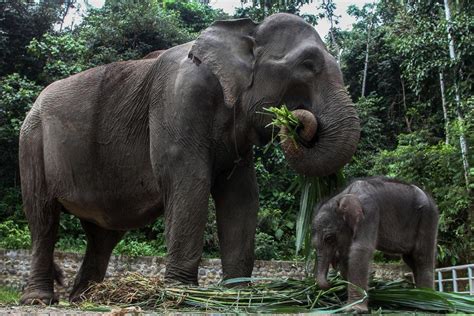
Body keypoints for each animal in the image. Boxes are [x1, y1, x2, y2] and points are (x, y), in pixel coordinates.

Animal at [18, 13, 360, 304]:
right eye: (307, 64)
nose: (295, 121)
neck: (244, 31)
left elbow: (241, 196)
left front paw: (237, 295)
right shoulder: (179, 101)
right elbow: (190, 182)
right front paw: (182, 294)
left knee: (103, 234)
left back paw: (86, 299)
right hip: (32, 142)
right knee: (43, 218)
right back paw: (39, 300)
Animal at [312, 177, 438, 312]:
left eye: (329, 238)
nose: (330, 284)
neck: (343, 195)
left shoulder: (369, 211)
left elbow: (361, 249)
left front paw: (354, 309)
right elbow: (348, 255)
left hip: (428, 216)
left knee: (421, 256)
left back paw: (427, 304)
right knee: (410, 259)